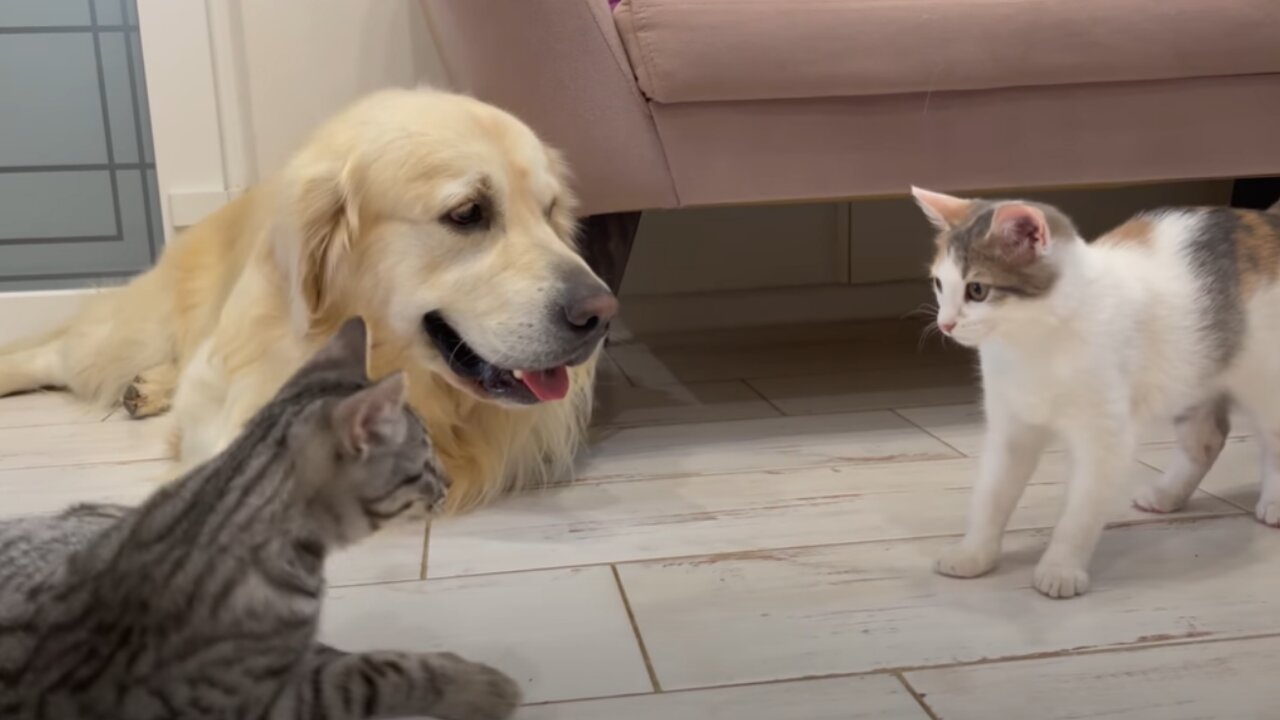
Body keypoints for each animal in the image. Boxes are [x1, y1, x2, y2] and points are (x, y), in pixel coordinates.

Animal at [911, 188, 1280, 597]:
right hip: (1192, 373)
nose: (945, 324)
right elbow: (992, 494)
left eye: (977, 290)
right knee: (1207, 439)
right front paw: (974, 553)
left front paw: (1060, 568)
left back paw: (1274, 504)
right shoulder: (1011, 426)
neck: (1032, 343)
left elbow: (1080, 512)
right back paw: (1166, 495)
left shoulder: (1105, 437)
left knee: (1271, 441)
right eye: (939, 284)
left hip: (1263, 380)